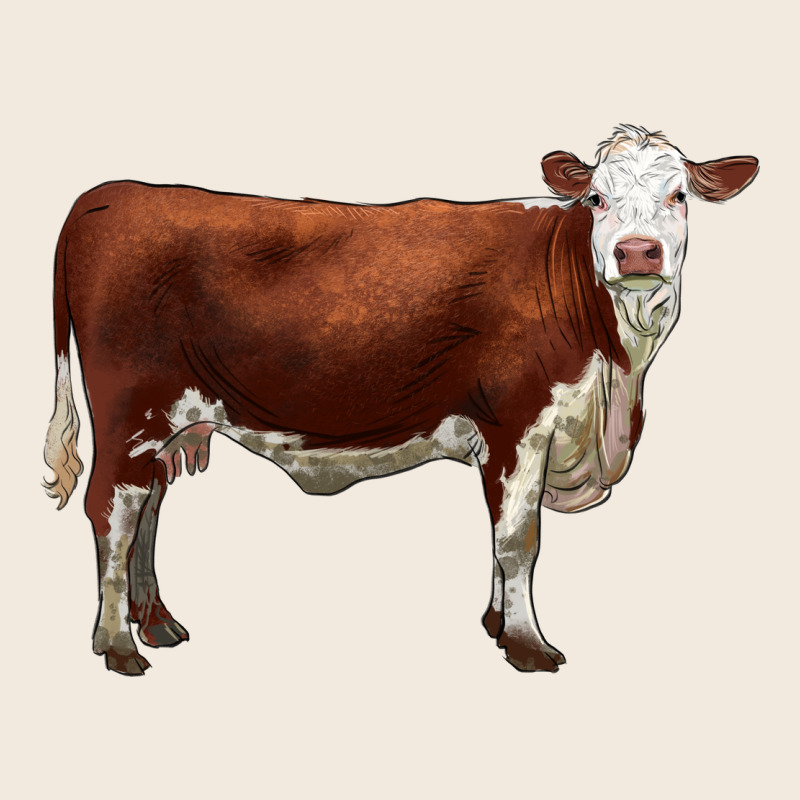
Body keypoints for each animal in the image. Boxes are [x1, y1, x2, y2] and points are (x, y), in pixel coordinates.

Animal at [44, 125, 758, 675]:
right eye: (597, 197)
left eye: (679, 194)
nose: (638, 253)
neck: (613, 382)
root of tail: (109, 194)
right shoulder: (519, 422)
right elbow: (518, 539)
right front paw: (527, 645)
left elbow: (498, 532)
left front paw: (495, 623)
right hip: (131, 411)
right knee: (112, 510)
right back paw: (118, 645)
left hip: (170, 424)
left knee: (148, 509)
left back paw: (157, 623)